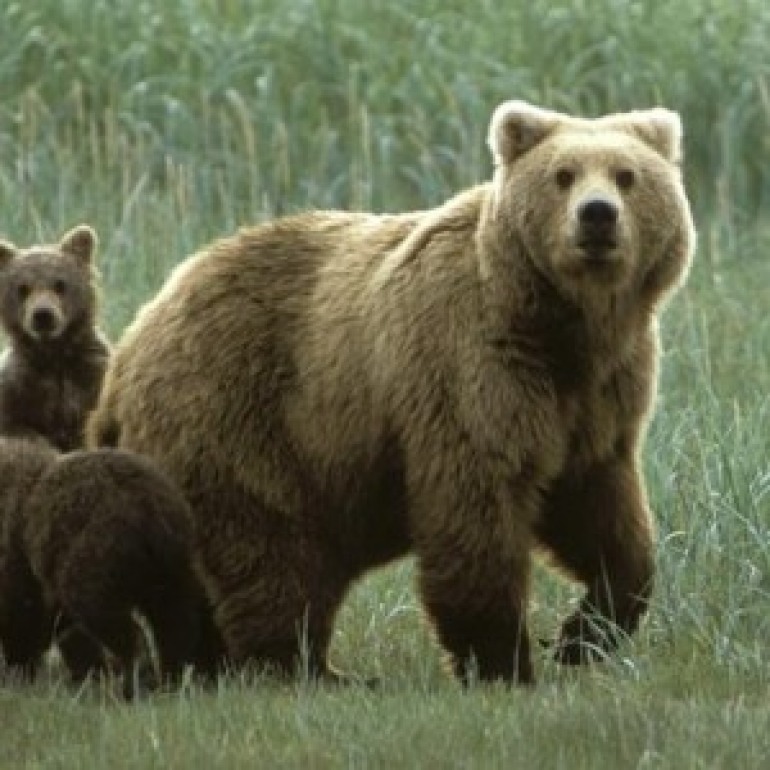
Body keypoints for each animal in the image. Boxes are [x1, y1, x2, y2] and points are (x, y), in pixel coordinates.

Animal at [87, 99, 692, 680]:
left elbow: (601, 510)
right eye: (563, 175)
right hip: (238, 414)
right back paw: (301, 668)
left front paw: (583, 634)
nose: (597, 216)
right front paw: (503, 662)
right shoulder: (471, 366)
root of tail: (133, 340)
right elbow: (477, 509)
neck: (561, 327)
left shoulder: (601, 394)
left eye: (627, 175)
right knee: (270, 550)